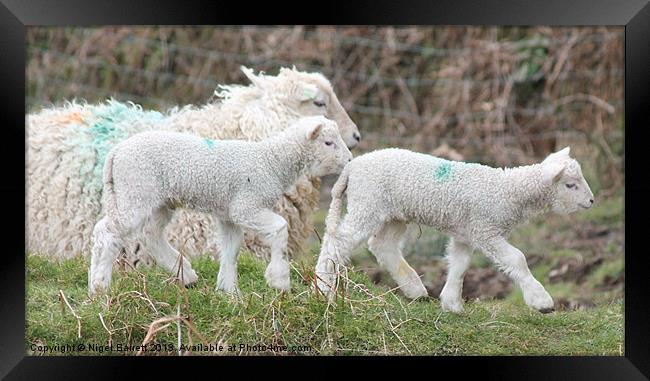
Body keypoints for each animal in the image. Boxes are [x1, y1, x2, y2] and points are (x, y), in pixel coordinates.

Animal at [88, 114, 352, 296]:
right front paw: (279, 279)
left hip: (159, 199)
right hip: (136, 191)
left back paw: (185, 274)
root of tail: (116, 152)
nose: (349, 159)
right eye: (329, 143)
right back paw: (99, 286)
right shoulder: (247, 205)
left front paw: (229, 291)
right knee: (106, 232)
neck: (271, 161)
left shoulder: (229, 214)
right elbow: (280, 227)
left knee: (150, 233)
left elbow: (231, 250)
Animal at [314, 145, 592, 312]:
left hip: (392, 213)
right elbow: (517, 259)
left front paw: (451, 304)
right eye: (570, 185)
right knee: (338, 241)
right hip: (367, 203)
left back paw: (415, 289)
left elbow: (459, 264)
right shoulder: (485, 229)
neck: (507, 191)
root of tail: (352, 167)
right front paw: (542, 301)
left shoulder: (466, 233)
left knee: (382, 245)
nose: (591, 201)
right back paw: (323, 286)